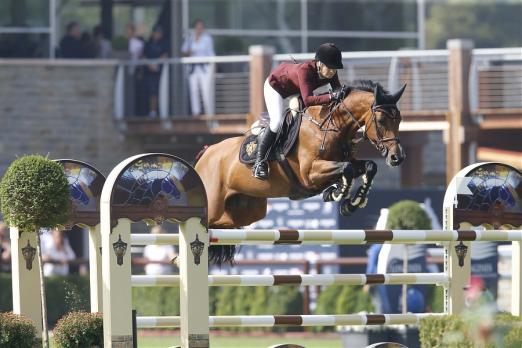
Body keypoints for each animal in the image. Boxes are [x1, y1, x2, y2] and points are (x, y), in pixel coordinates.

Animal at [195, 80, 406, 262]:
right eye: (381, 120)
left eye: (399, 119)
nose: (397, 158)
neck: (331, 126)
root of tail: (205, 154)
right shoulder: (309, 174)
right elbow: (346, 169)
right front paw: (337, 193)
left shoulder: (347, 162)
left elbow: (369, 166)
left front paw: (352, 202)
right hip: (214, 203)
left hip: (248, 210)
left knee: (222, 224)